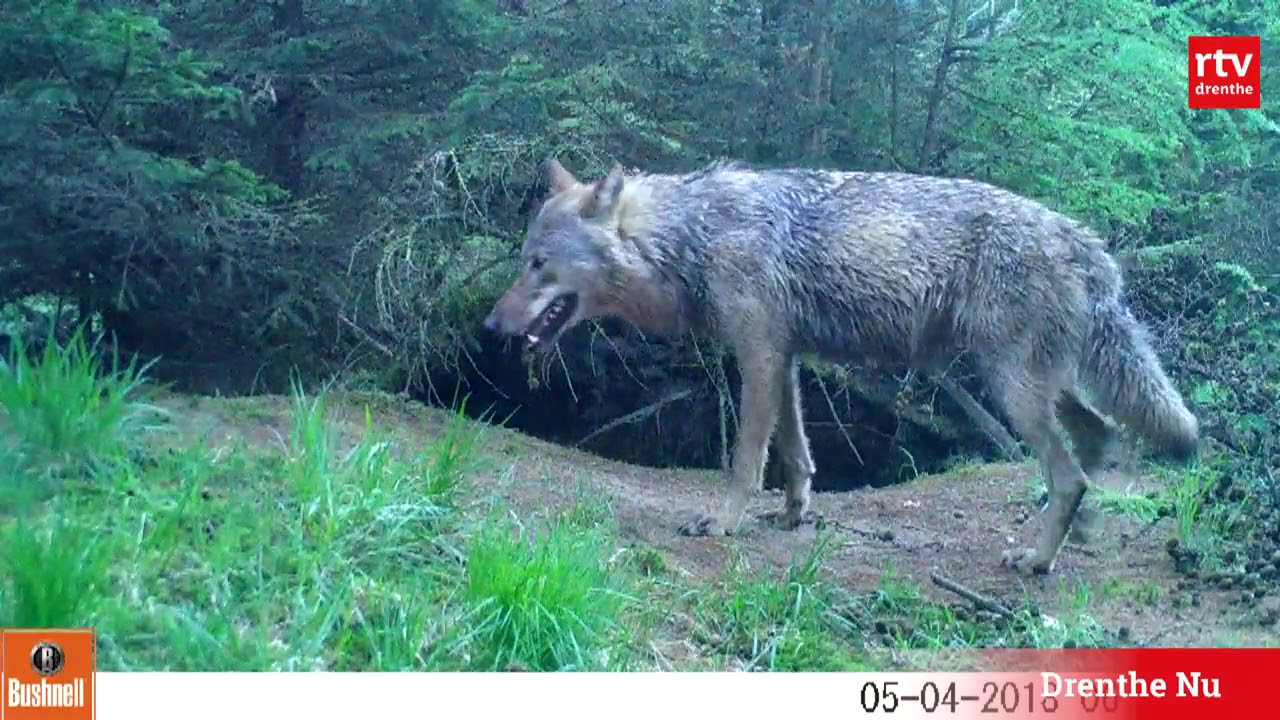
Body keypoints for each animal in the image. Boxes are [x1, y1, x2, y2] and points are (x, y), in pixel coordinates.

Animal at [483, 158, 1199, 575]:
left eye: (539, 264)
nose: (490, 327)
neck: (695, 236)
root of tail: (1088, 244)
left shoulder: (758, 355)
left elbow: (745, 458)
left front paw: (723, 523)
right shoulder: (786, 357)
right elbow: (797, 455)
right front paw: (793, 515)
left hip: (1013, 389)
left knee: (1071, 473)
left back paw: (1037, 558)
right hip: (1039, 385)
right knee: (1096, 441)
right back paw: (1081, 536)